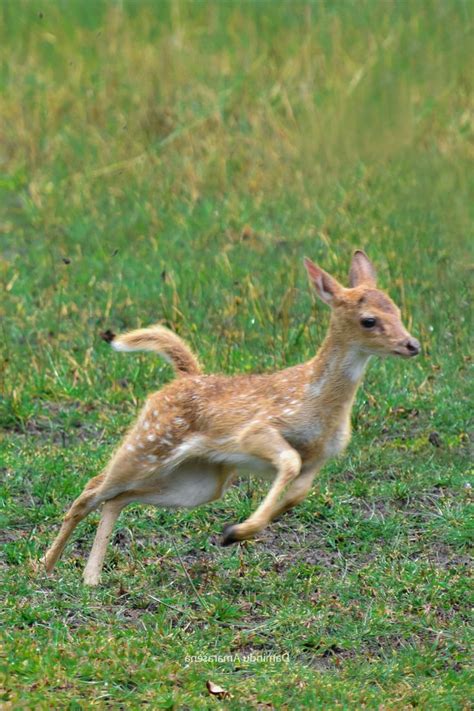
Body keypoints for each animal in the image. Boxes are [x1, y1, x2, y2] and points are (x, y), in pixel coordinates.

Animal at [43, 250, 418, 584]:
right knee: (90, 490)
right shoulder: (256, 432)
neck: (318, 402)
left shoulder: (321, 457)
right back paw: (46, 565)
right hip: (148, 444)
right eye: (369, 320)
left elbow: (298, 491)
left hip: (199, 481)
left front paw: (239, 530)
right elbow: (289, 462)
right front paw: (236, 531)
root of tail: (183, 377)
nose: (412, 344)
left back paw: (90, 578)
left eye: (397, 310)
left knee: (115, 499)